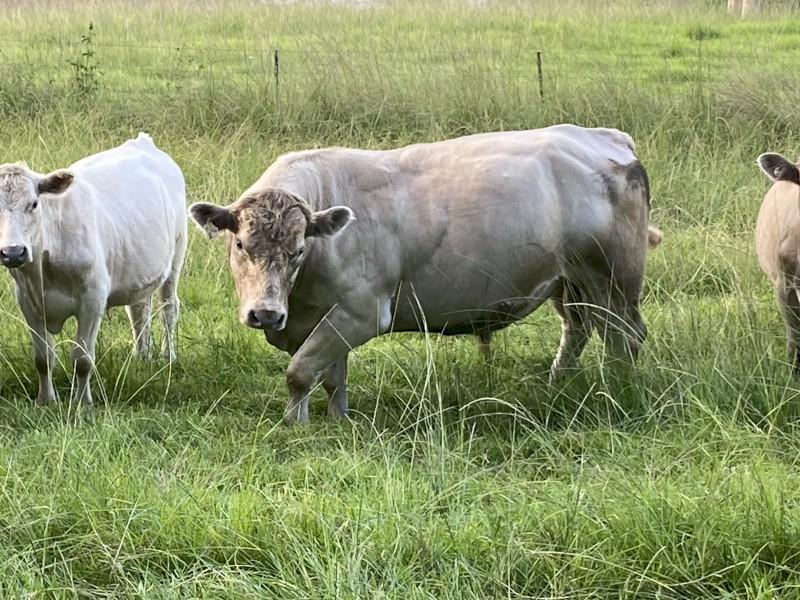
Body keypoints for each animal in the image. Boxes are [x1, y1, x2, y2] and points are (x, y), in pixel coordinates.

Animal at [0, 133, 187, 408]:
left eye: (34, 204)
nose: (13, 252)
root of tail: (143, 142)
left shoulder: (92, 298)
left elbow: (82, 358)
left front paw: (82, 404)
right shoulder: (27, 300)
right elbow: (43, 357)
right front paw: (45, 400)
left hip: (176, 257)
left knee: (169, 309)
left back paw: (168, 356)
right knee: (139, 310)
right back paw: (141, 356)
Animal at [190, 124, 661, 425]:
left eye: (299, 250)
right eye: (240, 245)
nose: (266, 314)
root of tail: (602, 136)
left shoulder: (360, 312)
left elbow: (301, 371)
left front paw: (294, 425)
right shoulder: (327, 315)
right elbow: (331, 378)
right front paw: (335, 419)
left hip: (612, 278)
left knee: (624, 336)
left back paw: (615, 387)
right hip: (569, 282)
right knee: (579, 328)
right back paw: (557, 383)